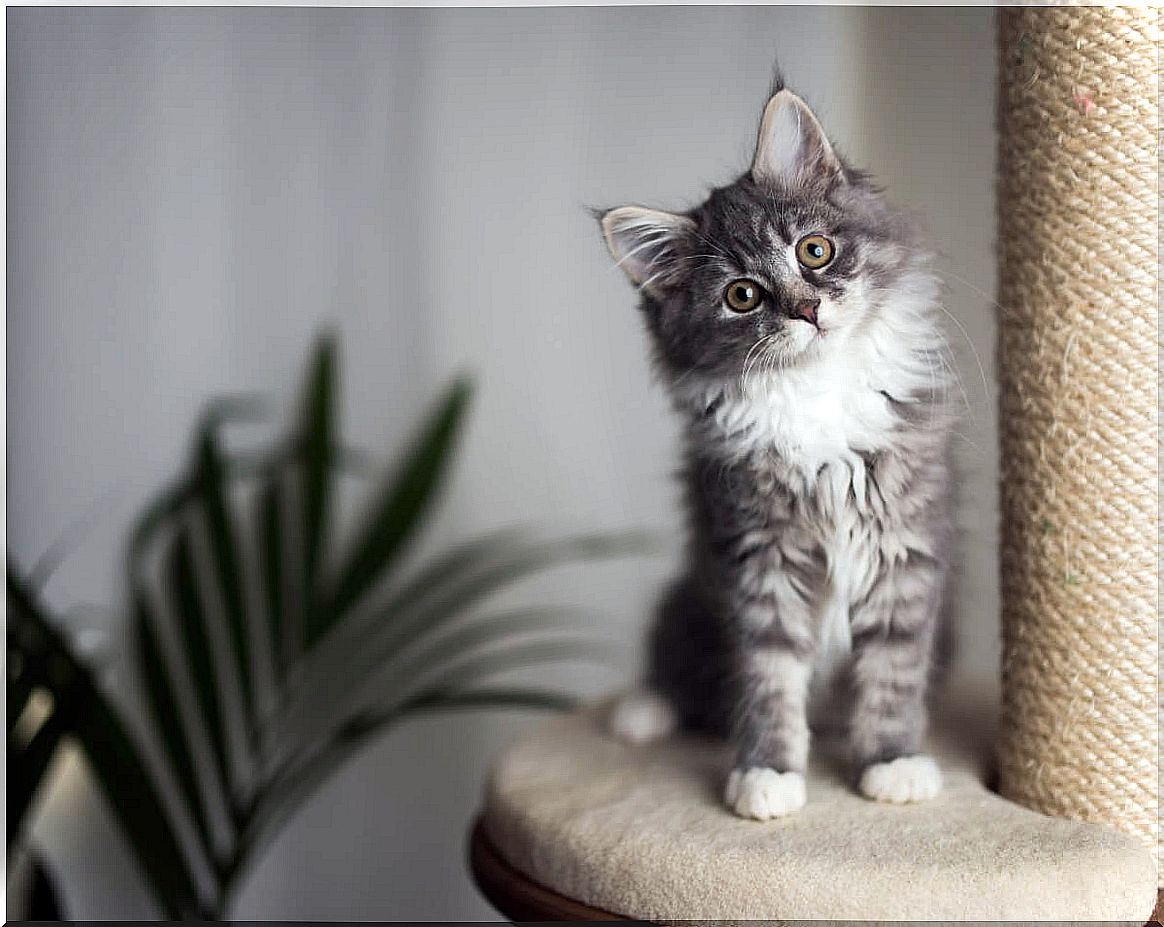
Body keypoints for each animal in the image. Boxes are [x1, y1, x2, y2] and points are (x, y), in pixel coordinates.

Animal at [600, 76, 954, 819]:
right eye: (742, 296)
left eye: (814, 251)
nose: (807, 310)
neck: (814, 391)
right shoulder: (757, 555)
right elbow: (768, 676)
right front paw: (768, 773)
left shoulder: (903, 545)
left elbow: (894, 668)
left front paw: (892, 761)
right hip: (690, 594)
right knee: (677, 666)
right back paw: (641, 710)